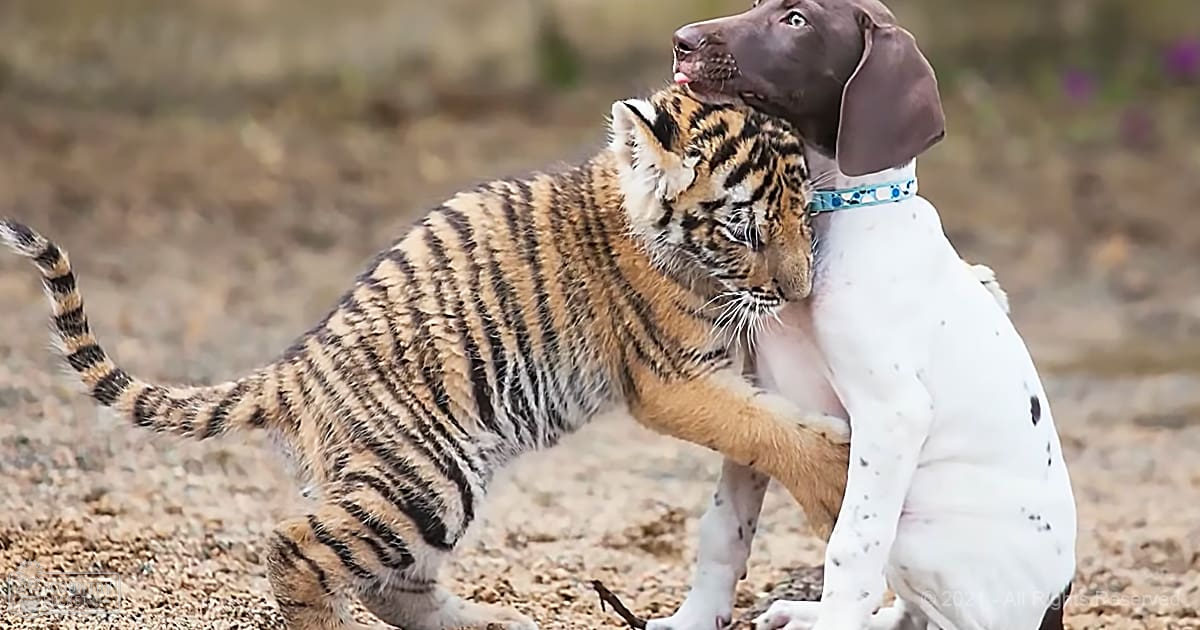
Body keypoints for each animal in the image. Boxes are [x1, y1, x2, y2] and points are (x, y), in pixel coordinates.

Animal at [0, 85, 852, 630]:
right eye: (741, 228)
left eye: (804, 212)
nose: (799, 290)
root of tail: (291, 373)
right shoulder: (671, 378)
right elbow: (766, 428)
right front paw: (837, 476)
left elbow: (766, 423)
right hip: (423, 478)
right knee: (297, 548)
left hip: (426, 486)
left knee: (391, 586)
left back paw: (499, 623)